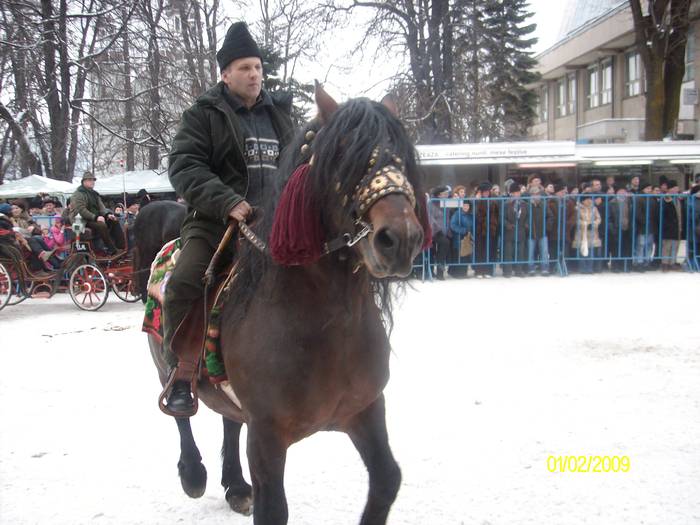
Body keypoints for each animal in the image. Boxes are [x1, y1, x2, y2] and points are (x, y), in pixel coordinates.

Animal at [139, 86, 430, 524]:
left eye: (400, 154)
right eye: (343, 152)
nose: (400, 238)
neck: (325, 325)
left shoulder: (364, 411)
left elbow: (386, 480)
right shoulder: (268, 436)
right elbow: (274, 508)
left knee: (229, 420)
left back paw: (236, 486)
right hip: (166, 366)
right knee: (181, 411)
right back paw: (193, 472)